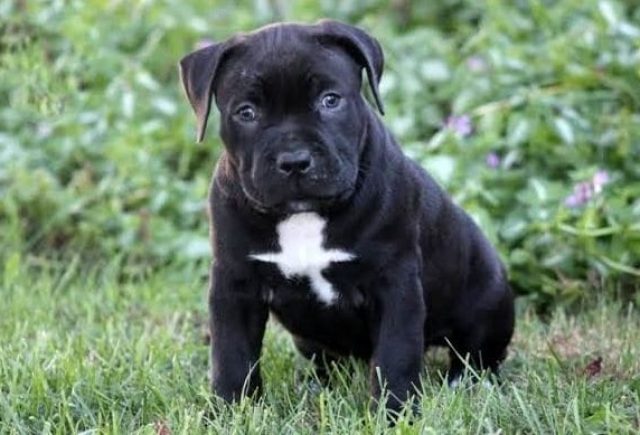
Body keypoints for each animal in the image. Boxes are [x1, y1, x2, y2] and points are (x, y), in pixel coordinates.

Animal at [179, 19, 516, 416]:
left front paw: (396, 415)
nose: (295, 160)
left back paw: (466, 383)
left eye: (330, 100)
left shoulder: (395, 283)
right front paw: (230, 412)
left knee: (475, 354)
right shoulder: (235, 285)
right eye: (246, 112)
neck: (304, 217)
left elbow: (396, 356)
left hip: (488, 300)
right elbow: (232, 356)